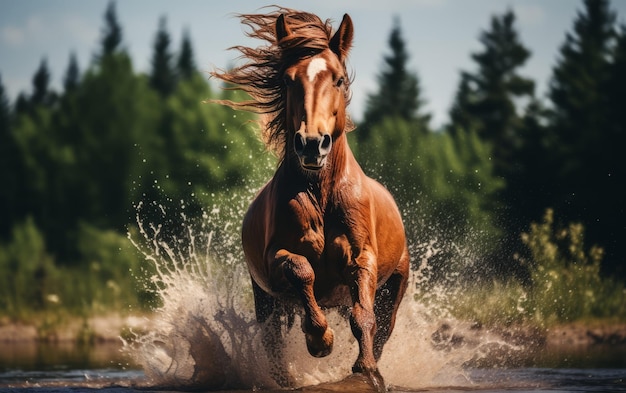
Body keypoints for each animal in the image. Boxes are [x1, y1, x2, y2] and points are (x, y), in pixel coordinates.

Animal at [212, 8, 410, 388]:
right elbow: (302, 270)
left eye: (338, 80)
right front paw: (320, 340)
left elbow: (363, 316)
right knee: (273, 339)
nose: (312, 144)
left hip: (395, 285)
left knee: (383, 327)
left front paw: (366, 370)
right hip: (266, 301)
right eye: (289, 80)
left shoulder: (362, 258)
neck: (321, 194)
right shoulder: (275, 261)